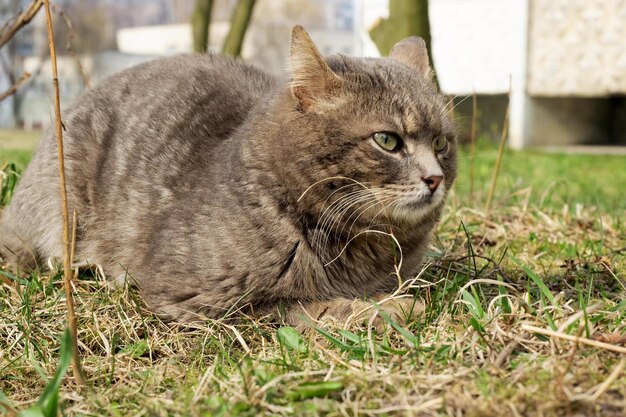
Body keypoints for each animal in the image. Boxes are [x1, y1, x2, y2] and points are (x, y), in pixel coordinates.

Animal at [0, 26, 454, 324]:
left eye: (441, 143)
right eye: (387, 140)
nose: (435, 178)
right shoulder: (201, 299)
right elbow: (308, 305)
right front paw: (390, 308)